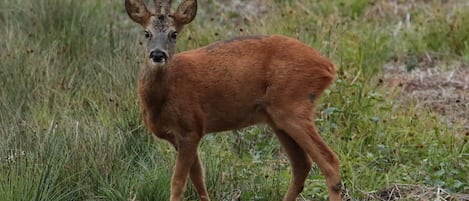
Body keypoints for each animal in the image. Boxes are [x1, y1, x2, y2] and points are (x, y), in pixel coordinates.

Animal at [124, 0, 342, 201]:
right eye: (146, 33)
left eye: (174, 34)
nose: (158, 54)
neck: (161, 99)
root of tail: (328, 67)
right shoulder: (183, 137)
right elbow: (199, 179)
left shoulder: (190, 128)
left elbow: (178, 183)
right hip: (277, 118)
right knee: (301, 165)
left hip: (293, 106)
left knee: (329, 162)